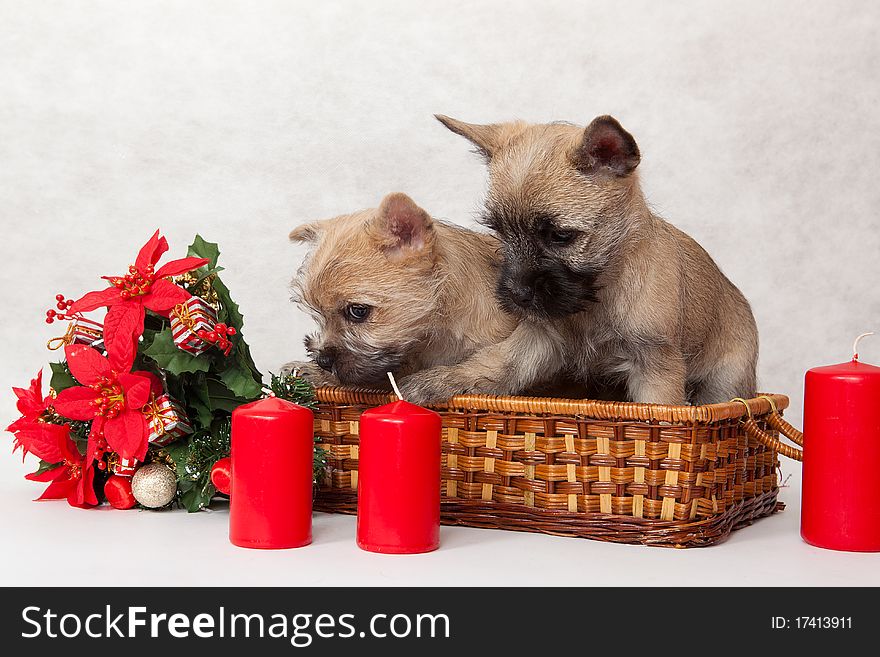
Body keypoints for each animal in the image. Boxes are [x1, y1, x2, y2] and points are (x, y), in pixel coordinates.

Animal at [398, 113, 756, 404]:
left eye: (560, 236)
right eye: (499, 231)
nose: (516, 295)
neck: (597, 299)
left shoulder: (655, 366)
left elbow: (660, 411)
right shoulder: (539, 339)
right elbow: (493, 363)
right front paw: (438, 381)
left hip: (725, 382)